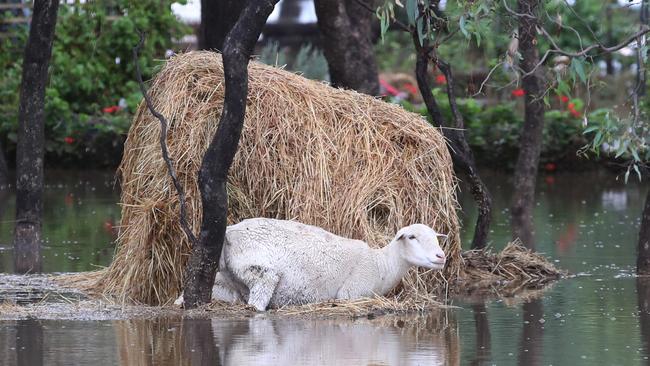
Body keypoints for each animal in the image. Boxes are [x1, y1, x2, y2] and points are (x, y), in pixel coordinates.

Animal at [175, 219, 442, 310]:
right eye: (412, 237)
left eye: (436, 237)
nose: (441, 257)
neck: (381, 265)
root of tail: (230, 232)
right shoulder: (352, 293)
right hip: (259, 270)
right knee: (257, 303)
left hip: (226, 280)